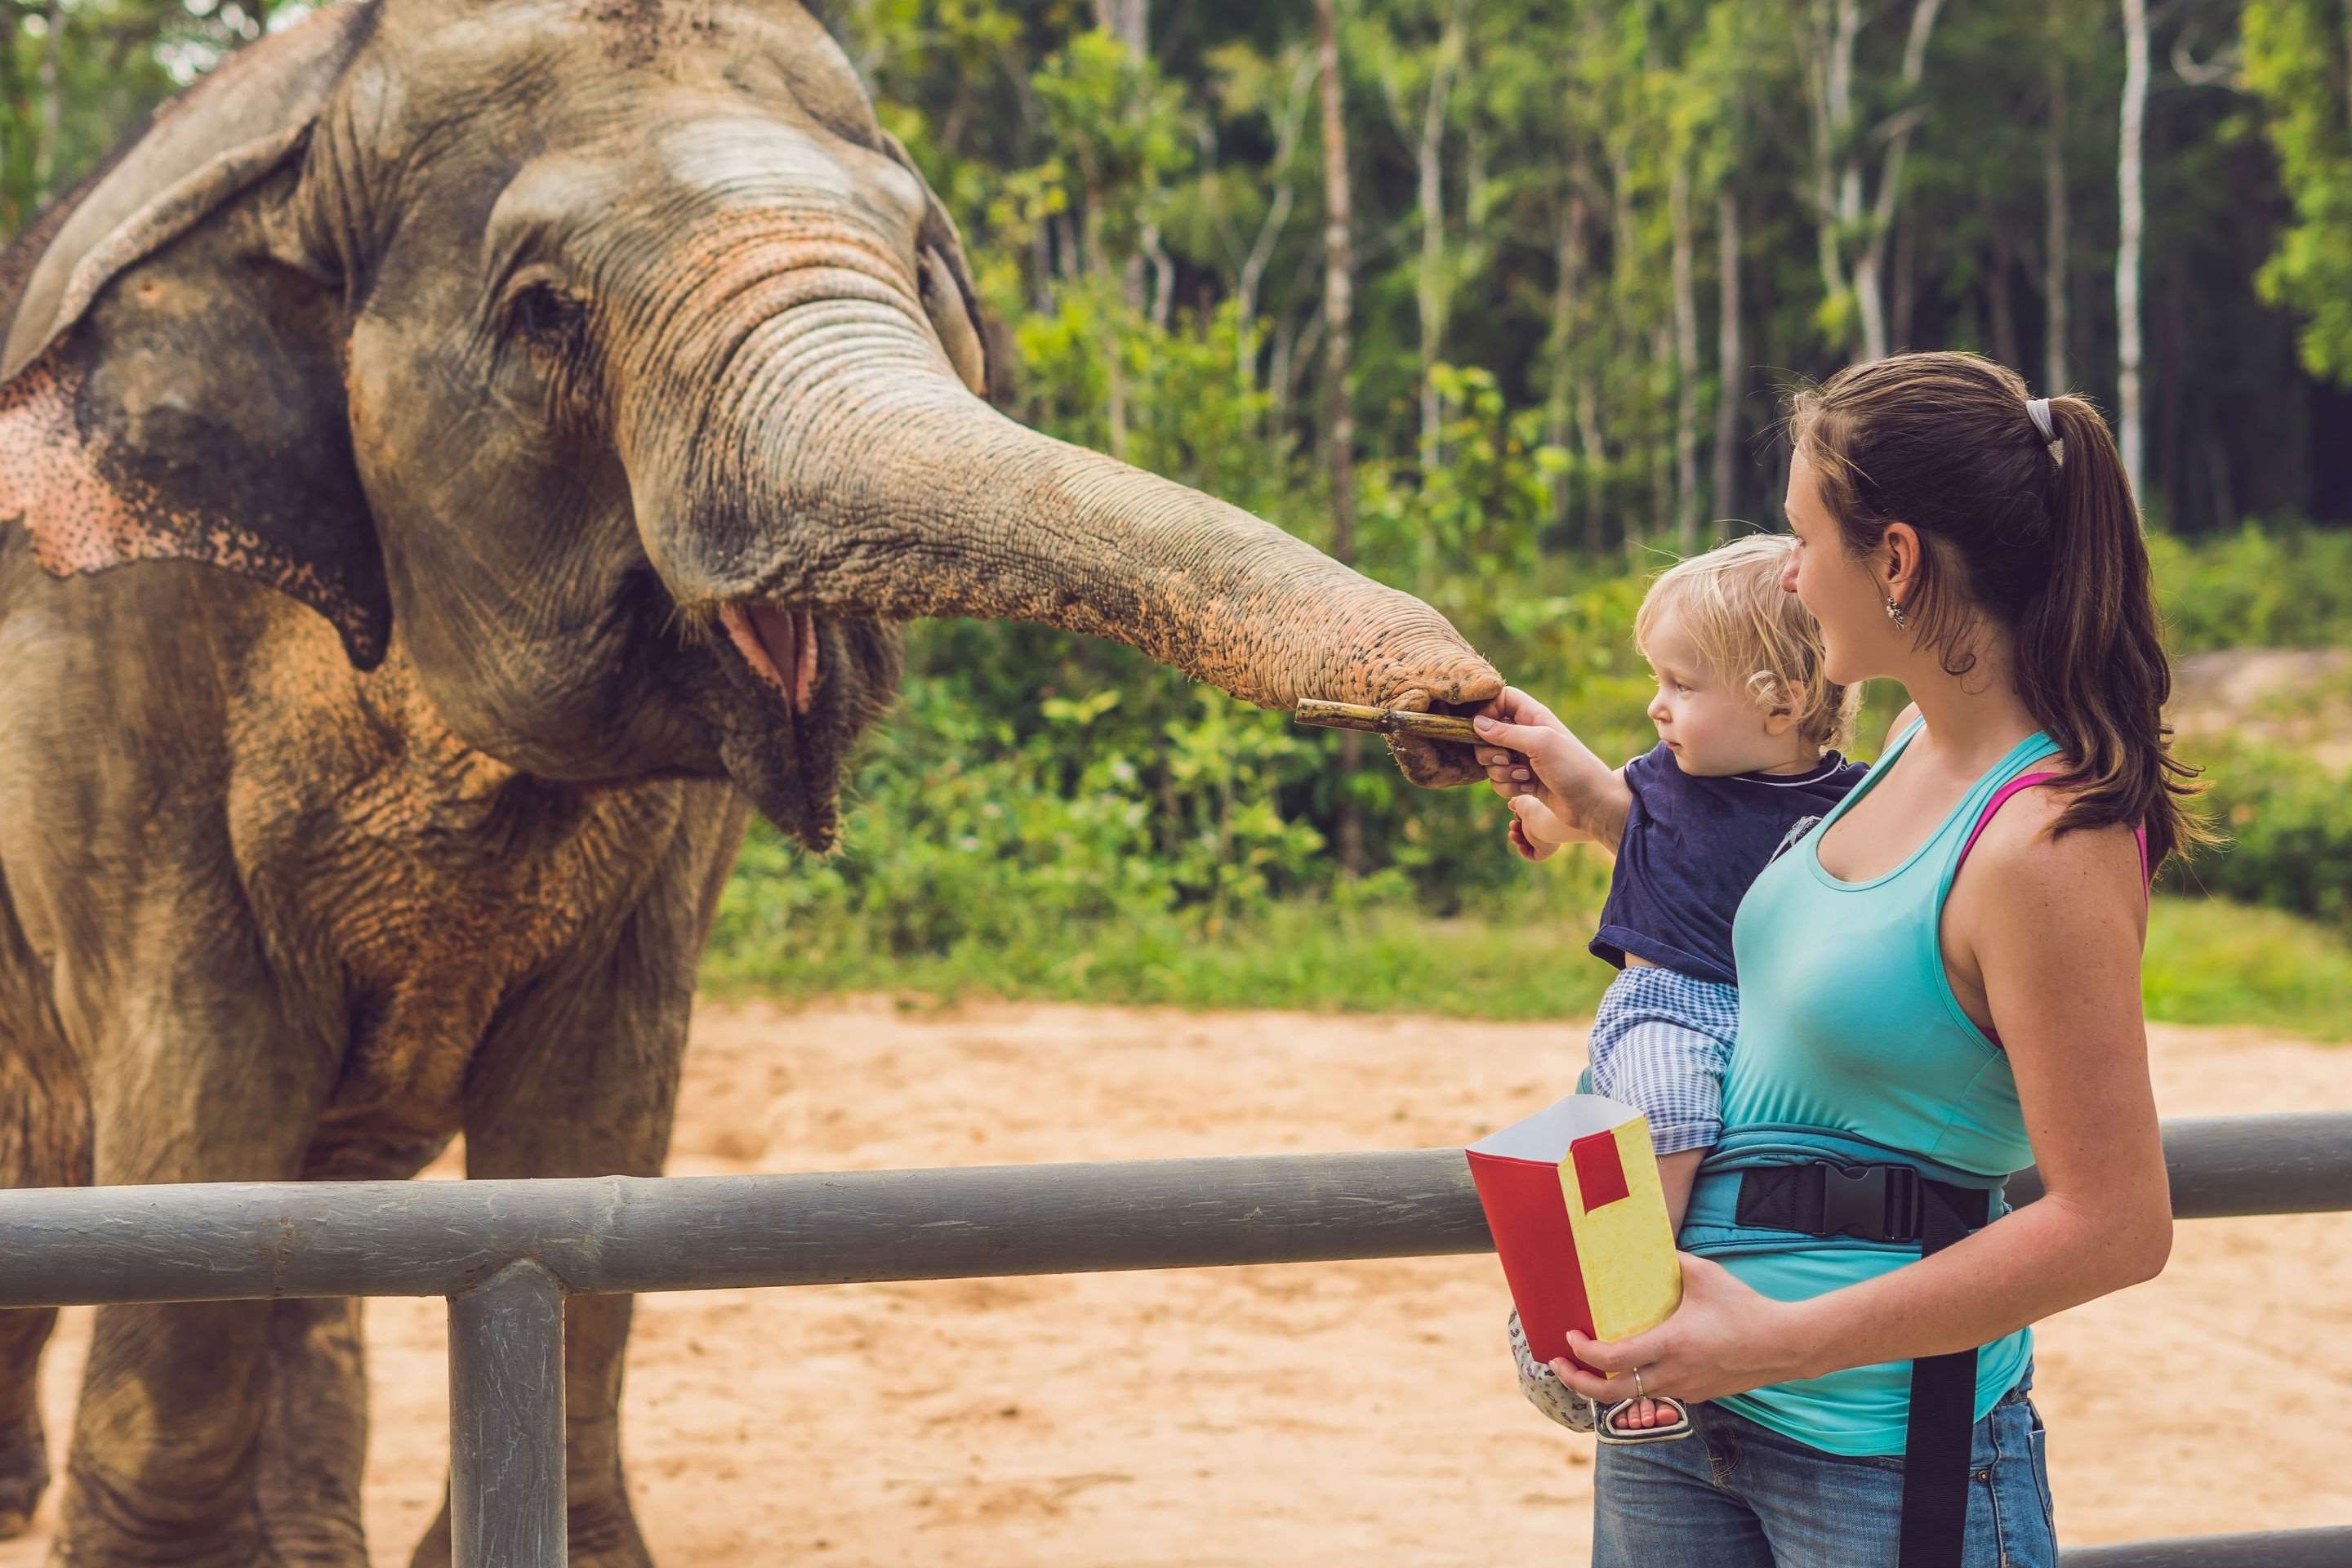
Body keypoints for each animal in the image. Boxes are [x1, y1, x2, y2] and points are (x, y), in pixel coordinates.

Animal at [0, 0, 1505, 1561]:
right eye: (543, 310)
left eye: (921, 260)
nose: (1460, 711)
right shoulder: (108, 672)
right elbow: (207, 1096)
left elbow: (591, 1123)